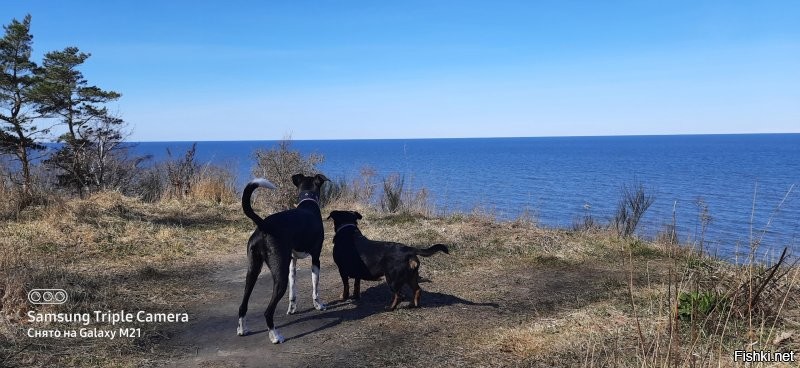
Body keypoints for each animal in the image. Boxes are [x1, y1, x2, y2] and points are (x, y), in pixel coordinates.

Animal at [238, 174, 328, 344]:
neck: (308, 203)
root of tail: (263, 225)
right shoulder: (316, 259)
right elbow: (315, 286)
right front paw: (318, 305)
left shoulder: (291, 263)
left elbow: (293, 291)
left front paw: (292, 308)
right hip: (279, 278)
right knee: (268, 312)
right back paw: (275, 336)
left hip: (252, 272)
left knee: (243, 305)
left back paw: (242, 329)